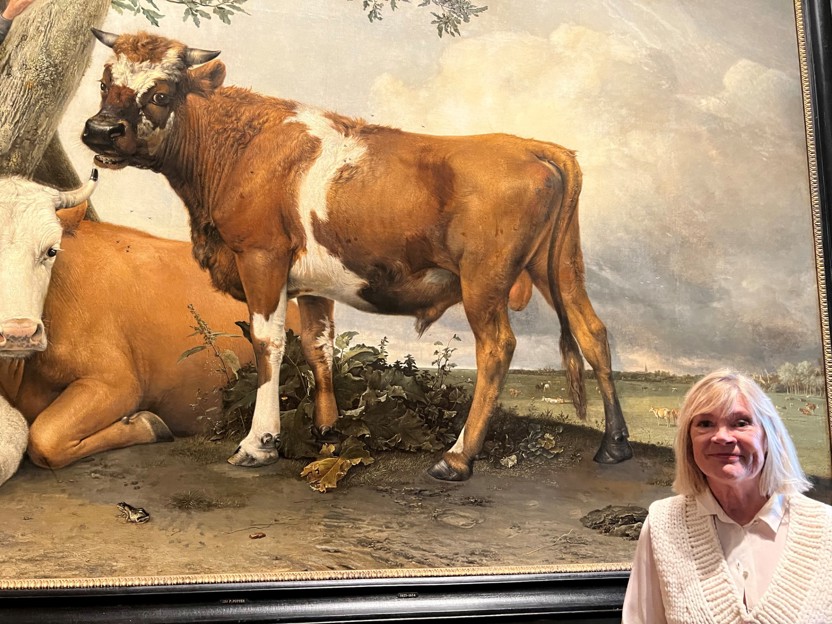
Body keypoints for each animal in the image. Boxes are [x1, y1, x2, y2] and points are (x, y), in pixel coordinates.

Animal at [83, 30, 632, 482]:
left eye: (160, 93)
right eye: (105, 82)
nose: (99, 131)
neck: (239, 149)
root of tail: (532, 145)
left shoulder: (261, 257)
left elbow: (268, 343)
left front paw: (259, 443)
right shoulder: (312, 284)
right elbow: (318, 347)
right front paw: (326, 432)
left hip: (485, 279)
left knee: (497, 348)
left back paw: (457, 458)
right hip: (560, 266)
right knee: (592, 331)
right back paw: (615, 445)